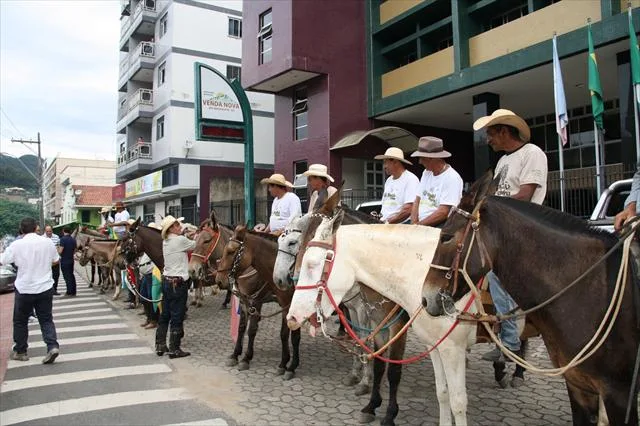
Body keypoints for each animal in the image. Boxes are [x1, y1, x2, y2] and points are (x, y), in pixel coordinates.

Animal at [214, 226, 302, 380]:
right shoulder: (245, 301)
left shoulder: (262, 302)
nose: (219, 280)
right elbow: (243, 328)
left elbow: (255, 330)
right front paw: (235, 354)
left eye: (231, 251)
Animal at [288, 211, 478, 426]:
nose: (292, 317)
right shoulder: (381, 325)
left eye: (311, 264)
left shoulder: (404, 330)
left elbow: (394, 372)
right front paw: (372, 405)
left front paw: (389, 414)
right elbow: (380, 365)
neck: (415, 274)